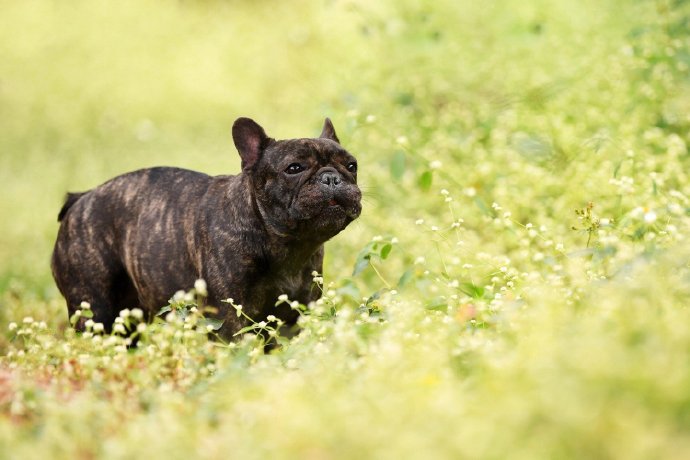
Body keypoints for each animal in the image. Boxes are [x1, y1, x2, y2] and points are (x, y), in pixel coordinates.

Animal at [51, 117, 362, 340]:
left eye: (351, 165)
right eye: (294, 168)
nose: (331, 177)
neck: (286, 244)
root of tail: (82, 198)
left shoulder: (297, 311)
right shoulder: (230, 315)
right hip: (94, 309)